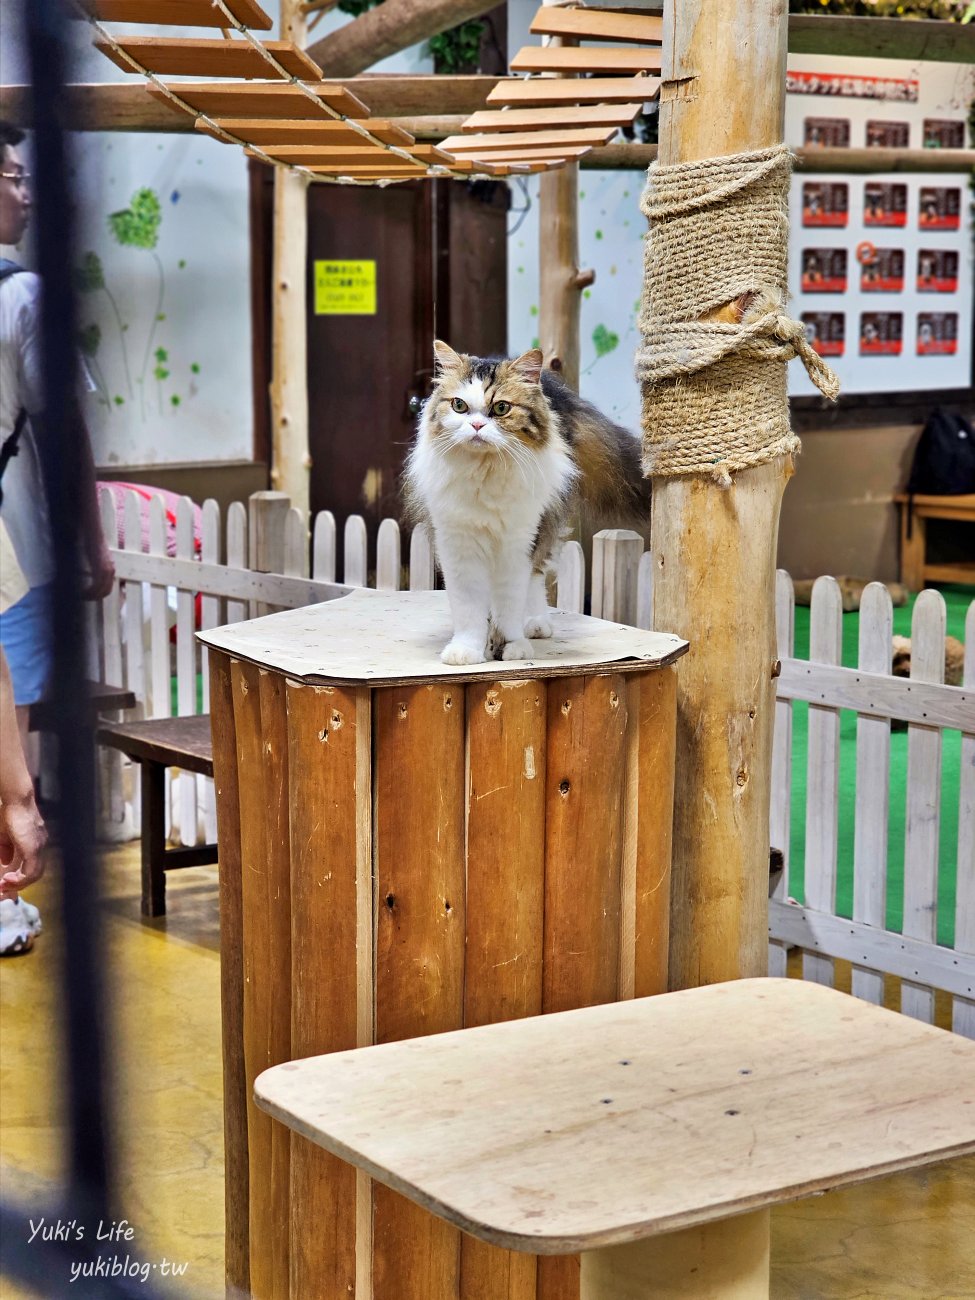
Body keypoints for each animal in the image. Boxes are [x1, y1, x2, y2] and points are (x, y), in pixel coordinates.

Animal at [405, 340, 650, 665]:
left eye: (501, 408)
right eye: (459, 405)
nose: (477, 425)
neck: (486, 473)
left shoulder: (518, 543)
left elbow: (510, 601)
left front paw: (510, 647)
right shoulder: (458, 545)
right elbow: (469, 607)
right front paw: (467, 650)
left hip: (544, 527)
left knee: (535, 577)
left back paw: (535, 624)